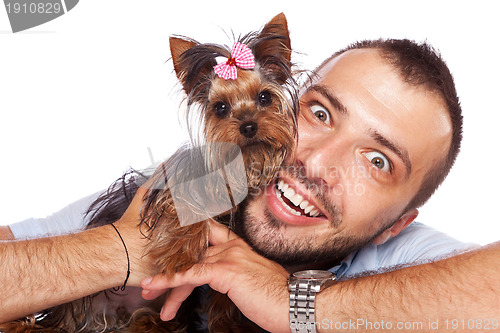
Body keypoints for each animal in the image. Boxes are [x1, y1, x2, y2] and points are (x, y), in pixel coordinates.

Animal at [0, 11, 296, 330]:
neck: (242, 164)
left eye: (264, 98)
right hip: (79, 299)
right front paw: (180, 253)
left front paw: (228, 324)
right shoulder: (172, 184)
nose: (248, 126)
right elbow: (185, 209)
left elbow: (224, 298)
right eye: (220, 108)